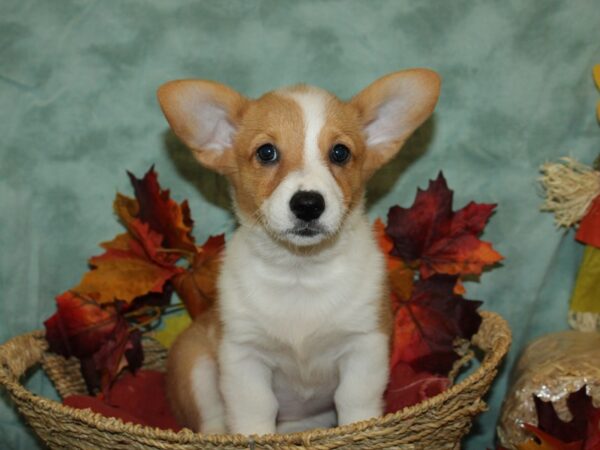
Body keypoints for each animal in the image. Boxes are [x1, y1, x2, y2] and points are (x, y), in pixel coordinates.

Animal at [159, 68, 440, 434]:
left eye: (340, 153)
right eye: (266, 152)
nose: (308, 204)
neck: (300, 272)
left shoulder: (364, 347)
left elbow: (355, 404)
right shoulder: (244, 355)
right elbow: (254, 414)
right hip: (196, 366)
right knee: (213, 421)